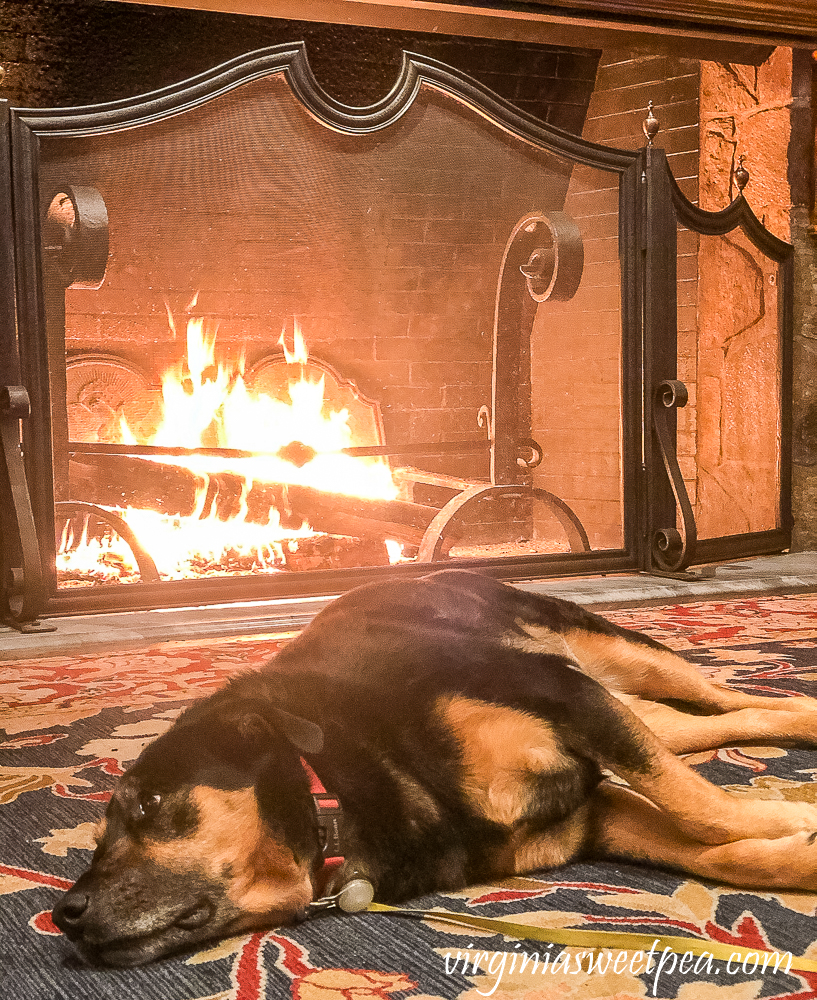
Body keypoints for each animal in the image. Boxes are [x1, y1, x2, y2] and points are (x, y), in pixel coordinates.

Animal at [54, 572, 816, 968]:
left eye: (148, 805)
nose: (65, 914)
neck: (337, 790)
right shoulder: (592, 815)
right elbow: (722, 849)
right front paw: (794, 851)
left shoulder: (567, 698)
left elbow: (703, 810)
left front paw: (792, 815)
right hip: (633, 703)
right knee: (727, 721)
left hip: (611, 657)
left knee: (729, 698)